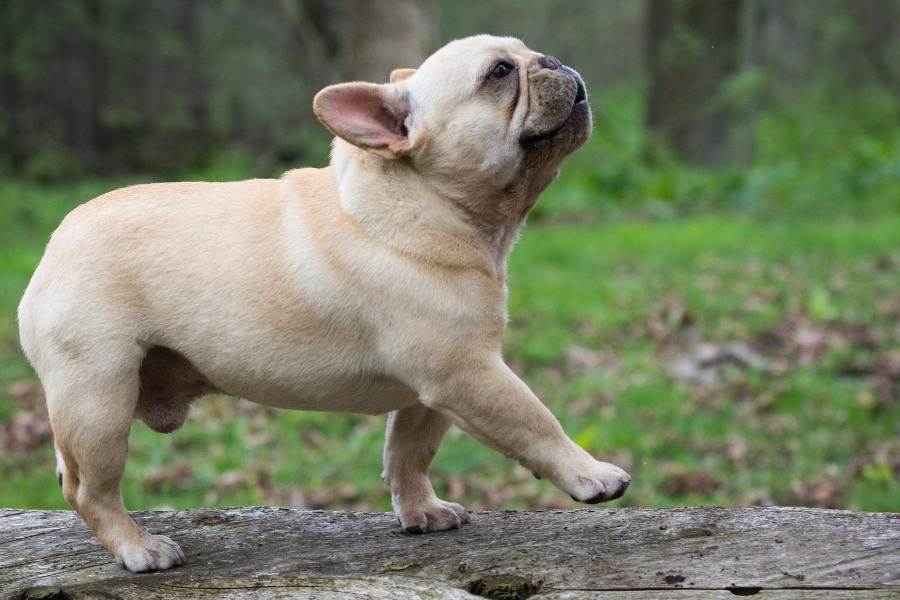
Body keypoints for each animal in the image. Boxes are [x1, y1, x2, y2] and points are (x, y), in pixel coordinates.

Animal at [17, 36, 628, 572]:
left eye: (526, 55)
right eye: (499, 73)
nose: (550, 60)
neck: (432, 202)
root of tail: (54, 243)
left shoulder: (434, 387)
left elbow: (408, 454)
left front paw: (421, 513)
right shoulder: (467, 372)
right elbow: (535, 423)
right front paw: (590, 475)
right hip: (99, 399)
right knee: (89, 489)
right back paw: (140, 549)